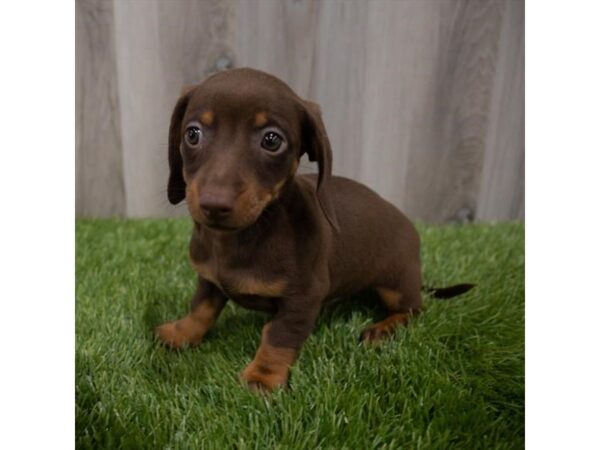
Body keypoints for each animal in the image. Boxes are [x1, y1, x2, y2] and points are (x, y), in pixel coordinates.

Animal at [152, 67, 472, 390]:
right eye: (192, 134)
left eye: (272, 140)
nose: (214, 205)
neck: (244, 236)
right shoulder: (209, 279)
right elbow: (201, 309)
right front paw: (182, 333)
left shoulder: (303, 298)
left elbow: (278, 336)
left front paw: (263, 377)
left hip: (396, 283)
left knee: (413, 310)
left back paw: (382, 329)